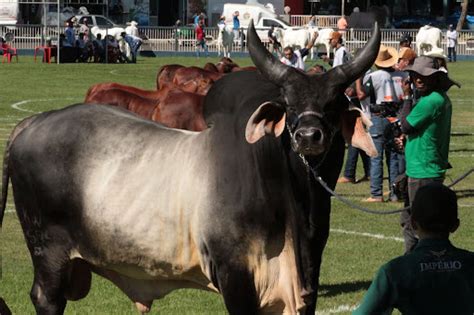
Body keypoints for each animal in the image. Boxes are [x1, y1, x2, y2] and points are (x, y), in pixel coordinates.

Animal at [0, 21, 380, 314]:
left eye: (334, 102)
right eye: (287, 103)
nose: (308, 135)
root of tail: (32, 122)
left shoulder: (307, 280)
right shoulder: (235, 276)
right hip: (48, 252)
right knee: (46, 298)